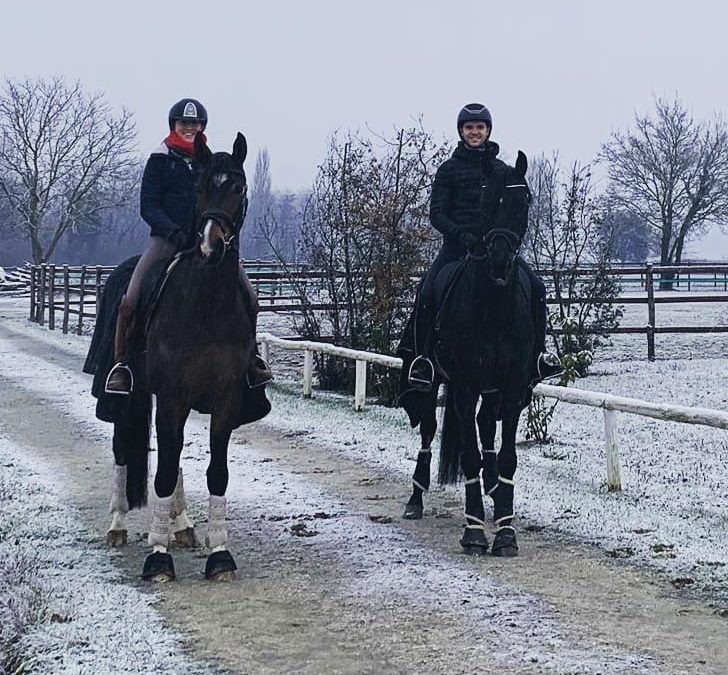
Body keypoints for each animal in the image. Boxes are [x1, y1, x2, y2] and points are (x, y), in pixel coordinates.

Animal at [85, 133, 268, 580]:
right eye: (201, 187)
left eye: (238, 188)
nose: (210, 244)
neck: (207, 305)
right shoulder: (171, 397)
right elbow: (164, 472)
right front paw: (157, 556)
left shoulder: (225, 400)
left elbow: (215, 472)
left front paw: (219, 554)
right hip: (129, 394)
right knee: (124, 448)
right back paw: (118, 525)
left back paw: (181, 526)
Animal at [398, 154, 536, 560]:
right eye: (488, 199)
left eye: (524, 201)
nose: (500, 261)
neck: (493, 308)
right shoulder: (463, 385)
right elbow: (470, 455)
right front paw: (474, 532)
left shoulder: (511, 389)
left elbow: (506, 456)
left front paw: (505, 532)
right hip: (431, 383)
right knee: (429, 430)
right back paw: (416, 499)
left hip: (492, 393)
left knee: (486, 426)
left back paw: (494, 492)